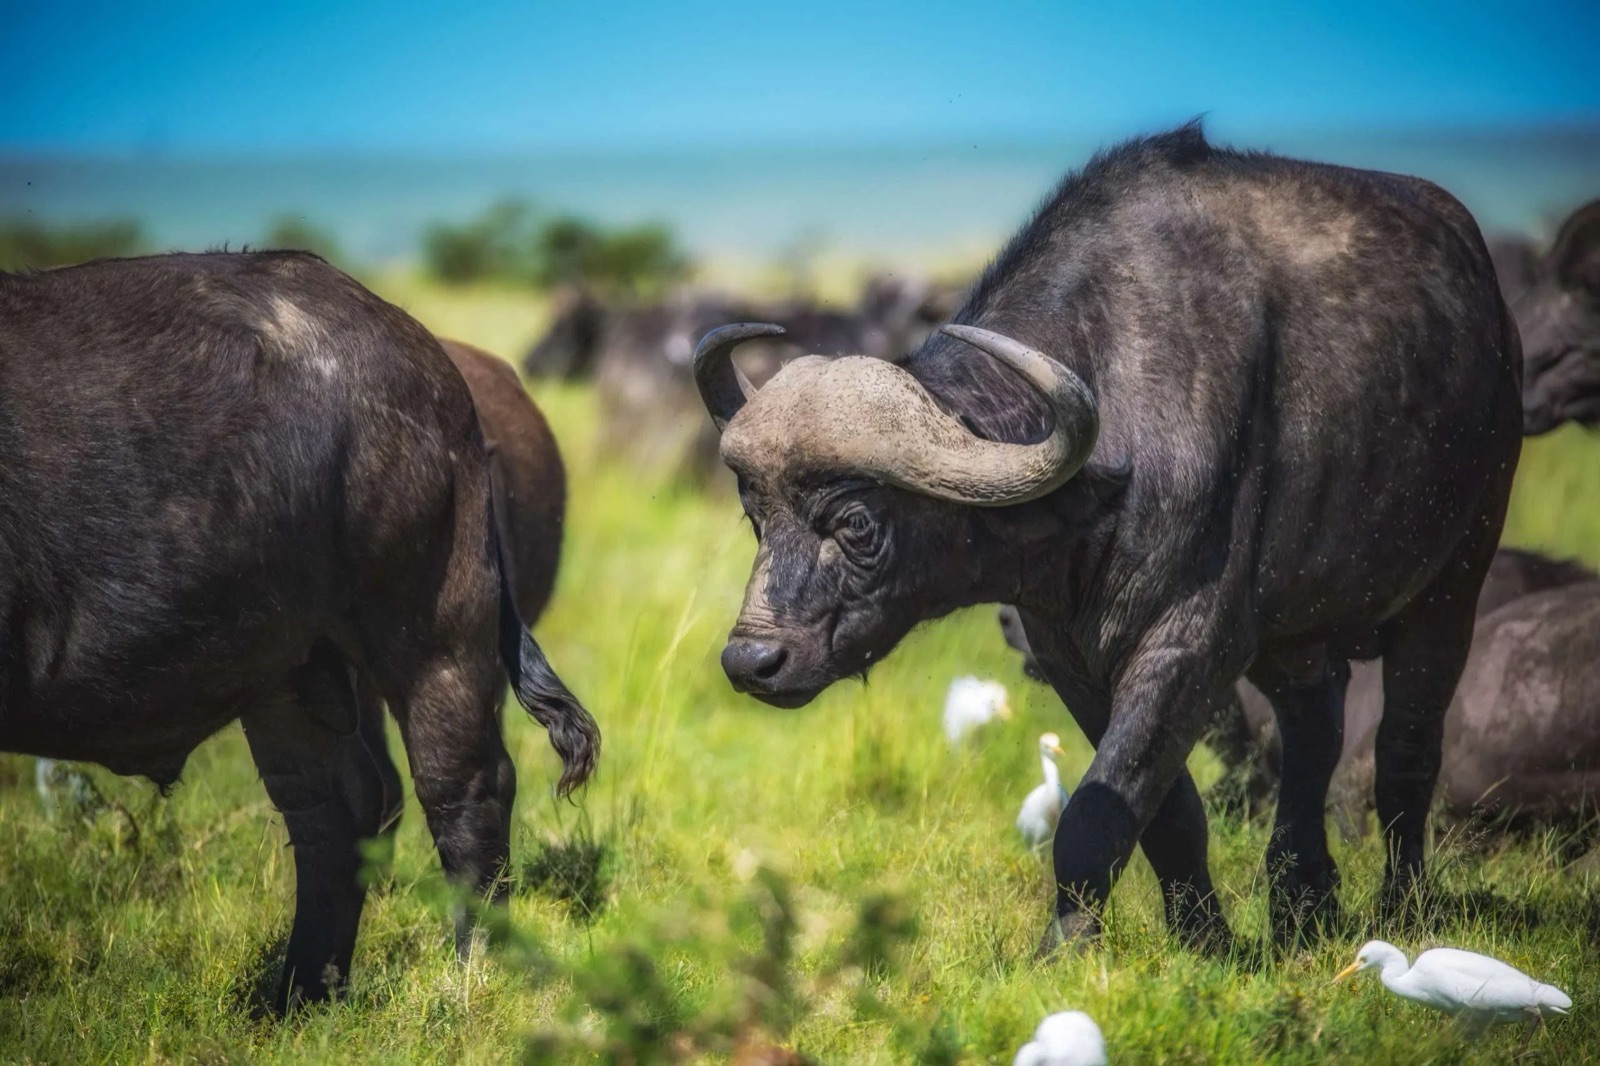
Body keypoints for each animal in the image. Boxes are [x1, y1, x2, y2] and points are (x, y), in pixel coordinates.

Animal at [0, 252, 597, 1010]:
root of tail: (430, 362)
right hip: (288, 667)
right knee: (336, 809)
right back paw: (299, 995)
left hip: (432, 632)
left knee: (463, 788)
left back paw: (472, 975)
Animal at [695, 124, 1521, 951]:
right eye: (756, 517)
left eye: (856, 524)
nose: (752, 661)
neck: (1103, 474)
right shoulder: (1072, 658)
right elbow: (1165, 811)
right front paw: (1204, 938)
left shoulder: (1188, 647)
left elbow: (1096, 812)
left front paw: (1064, 948)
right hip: (1298, 630)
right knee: (1314, 725)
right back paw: (1302, 903)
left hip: (1455, 580)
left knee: (1405, 746)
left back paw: (1401, 905)